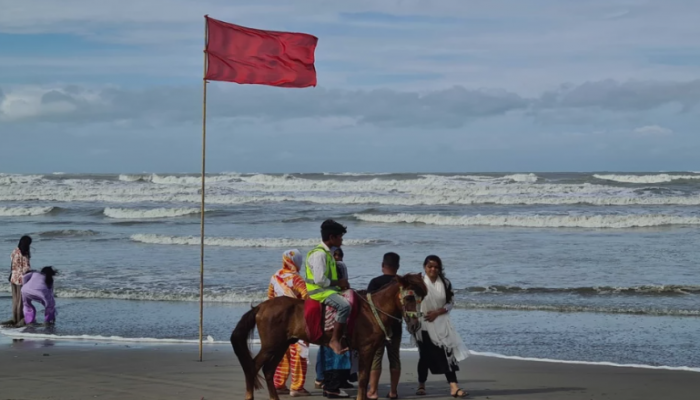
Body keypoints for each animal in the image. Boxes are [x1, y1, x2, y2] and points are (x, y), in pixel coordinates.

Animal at [231, 272, 426, 400]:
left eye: (422, 298)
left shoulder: (368, 350)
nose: (415, 325)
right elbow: (363, 380)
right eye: (409, 298)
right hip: (270, 346)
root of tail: (261, 307)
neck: (372, 310)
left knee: (268, 370)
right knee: (253, 367)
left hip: (281, 345)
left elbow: (364, 380)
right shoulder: (366, 349)